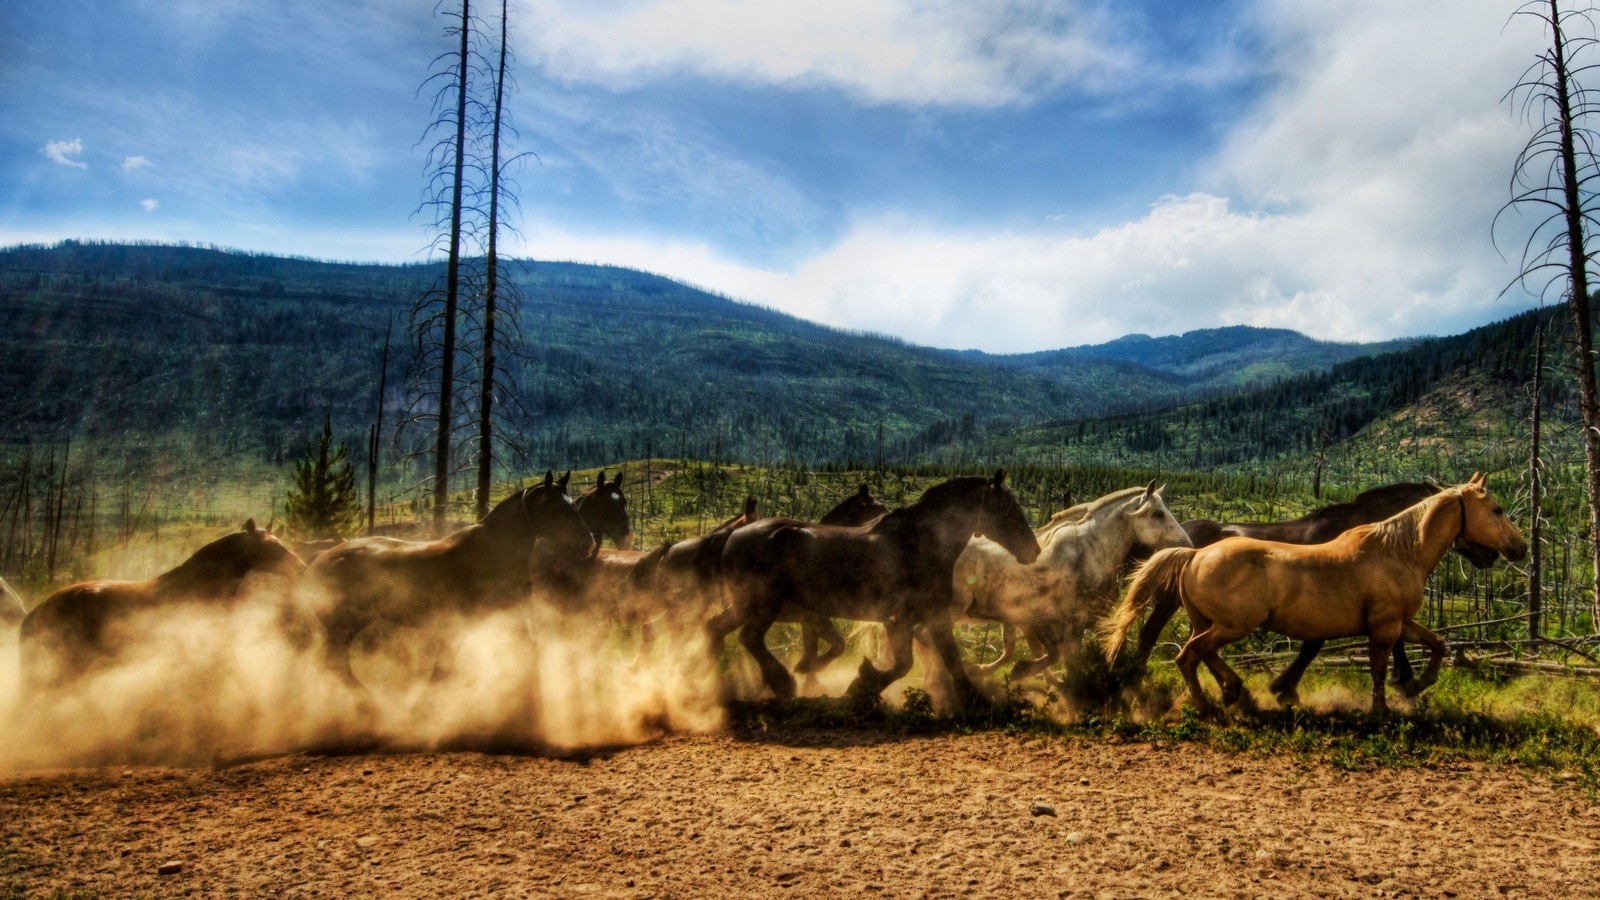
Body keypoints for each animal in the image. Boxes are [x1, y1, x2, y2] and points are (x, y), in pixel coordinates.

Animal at [305, 470, 595, 685]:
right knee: (335, 665)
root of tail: (321, 559)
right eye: (554, 507)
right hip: (341, 626)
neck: (492, 552)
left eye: (573, 504)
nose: (588, 543)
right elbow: (443, 670)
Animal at [716, 470, 1036, 707]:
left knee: (716, 629)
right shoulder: (898, 619)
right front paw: (861, 684)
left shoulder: (934, 616)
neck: (920, 545)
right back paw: (782, 683)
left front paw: (976, 700)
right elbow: (903, 664)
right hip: (763, 604)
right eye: (1009, 511)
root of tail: (734, 537)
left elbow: (951, 659)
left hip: (747, 605)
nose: (1033, 550)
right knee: (749, 637)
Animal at [1100, 474, 1523, 717]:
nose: (1518, 549)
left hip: (1207, 620)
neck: (1394, 549)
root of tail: (1191, 551)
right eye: (1497, 509)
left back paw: (1228, 693)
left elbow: (1435, 643)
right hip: (1225, 622)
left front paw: (1414, 686)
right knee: (1175, 646)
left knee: (1194, 650)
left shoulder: (1392, 619)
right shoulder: (1380, 621)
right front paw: (1391, 699)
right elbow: (1372, 660)